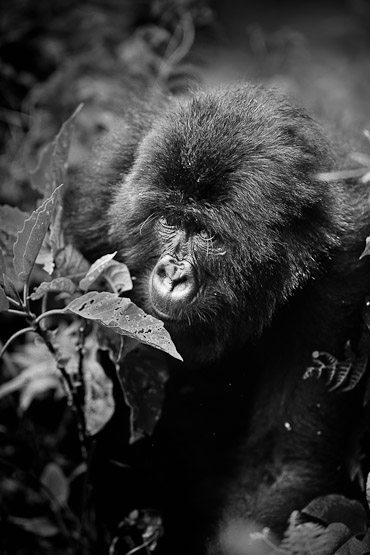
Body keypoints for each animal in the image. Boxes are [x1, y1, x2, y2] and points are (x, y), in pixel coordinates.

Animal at [64, 81, 370, 552]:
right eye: (168, 220)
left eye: (208, 234)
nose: (171, 274)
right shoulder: (95, 212)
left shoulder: (341, 281)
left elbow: (279, 464)